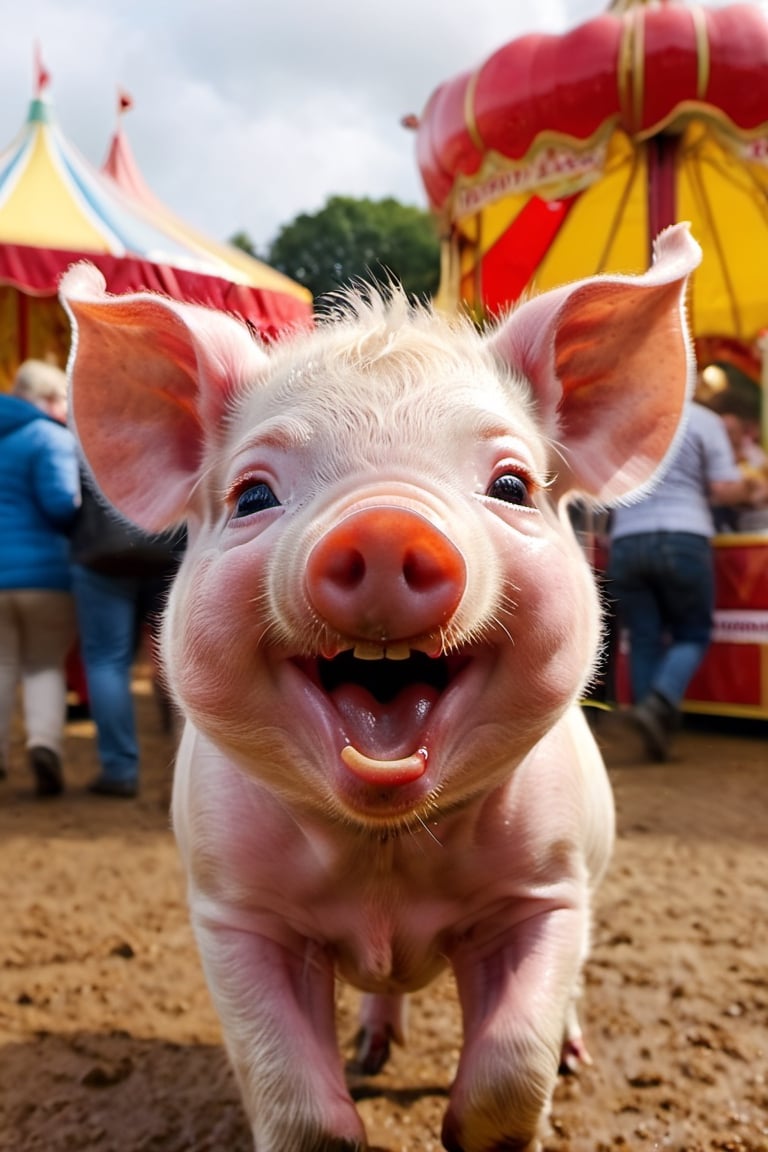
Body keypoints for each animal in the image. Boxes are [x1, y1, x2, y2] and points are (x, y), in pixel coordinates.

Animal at [60, 222, 701, 1152]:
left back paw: (572, 1057)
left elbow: (514, 1067)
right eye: (252, 494)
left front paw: (483, 1120)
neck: (385, 859)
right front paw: (348, 1094)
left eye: (512, 484)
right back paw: (372, 1051)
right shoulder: (232, 910)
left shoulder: (546, 889)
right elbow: (298, 1108)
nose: (387, 524)